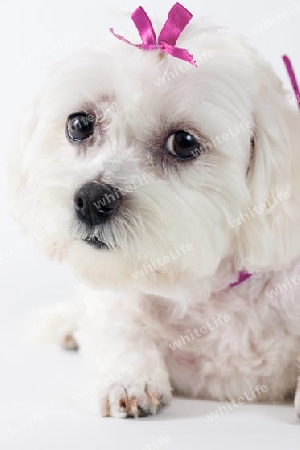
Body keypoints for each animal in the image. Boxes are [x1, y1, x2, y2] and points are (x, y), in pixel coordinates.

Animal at [5, 3, 300, 418]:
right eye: (79, 123)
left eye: (183, 142)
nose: (91, 199)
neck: (203, 293)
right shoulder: (115, 302)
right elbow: (120, 332)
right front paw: (130, 379)